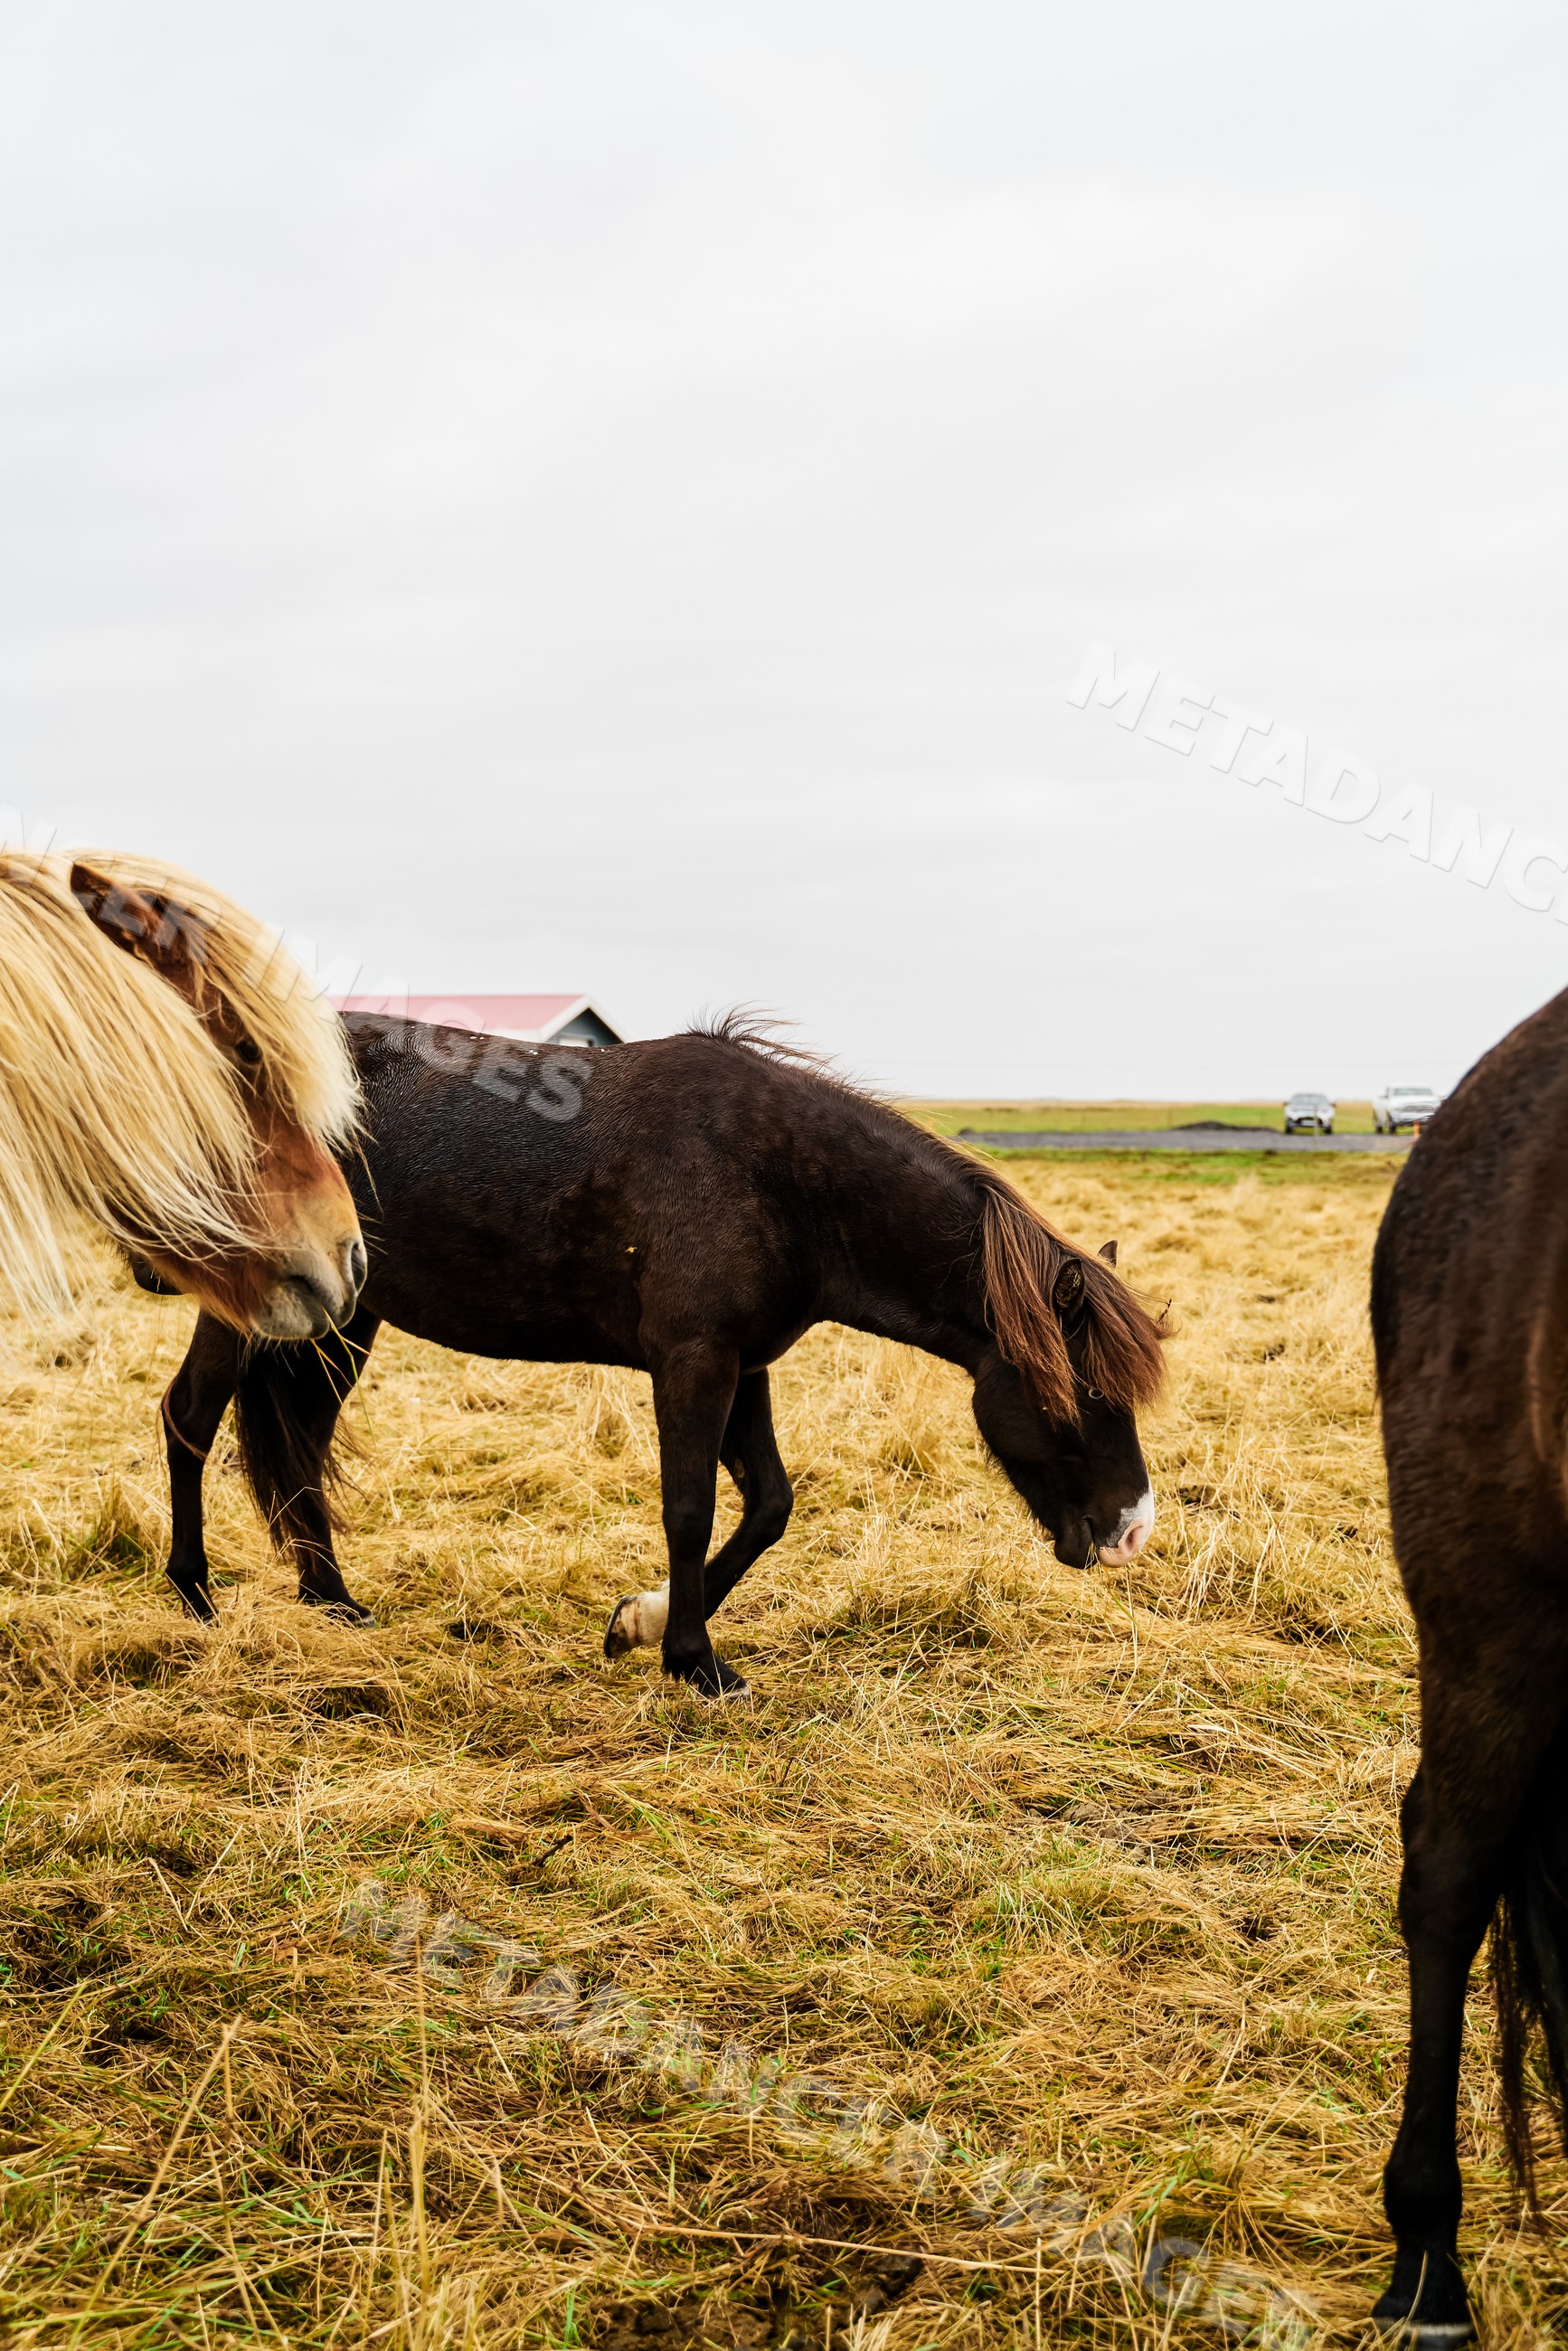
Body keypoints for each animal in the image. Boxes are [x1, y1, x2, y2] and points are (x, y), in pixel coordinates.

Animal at [146, 1014, 1167, 1689]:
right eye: (1080, 1392)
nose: (1132, 1531)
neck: (784, 1183)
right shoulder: (694, 1361)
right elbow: (691, 1509)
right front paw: (692, 1659)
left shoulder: (744, 1364)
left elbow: (769, 1505)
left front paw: (639, 1624)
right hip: (254, 1301)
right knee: (190, 1418)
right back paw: (195, 1597)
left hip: (343, 1316)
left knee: (301, 1446)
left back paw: (332, 1598)